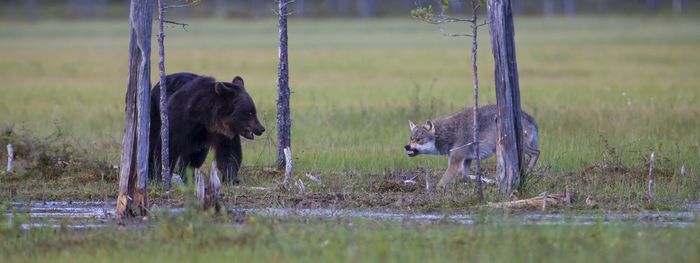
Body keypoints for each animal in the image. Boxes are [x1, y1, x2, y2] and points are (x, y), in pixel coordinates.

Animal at [402, 104, 540, 188]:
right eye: (411, 139)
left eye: (418, 140)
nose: (406, 146)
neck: (450, 132)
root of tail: (531, 118)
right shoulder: (466, 161)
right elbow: (467, 176)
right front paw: (485, 182)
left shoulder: (455, 163)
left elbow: (442, 182)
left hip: (519, 148)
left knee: (537, 152)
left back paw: (528, 171)